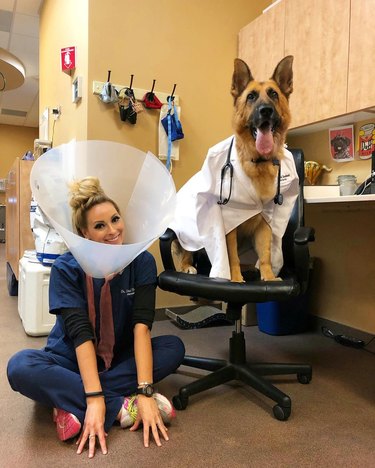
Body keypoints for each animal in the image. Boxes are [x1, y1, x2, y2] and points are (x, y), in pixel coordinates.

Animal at [176, 54, 294, 282]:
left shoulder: (264, 223)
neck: (257, 161)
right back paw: (187, 266)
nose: (266, 110)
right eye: (251, 97)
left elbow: (265, 253)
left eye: (274, 94)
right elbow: (231, 256)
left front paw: (268, 277)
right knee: (189, 249)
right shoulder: (229, 224)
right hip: (193, 232)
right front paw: (236, 278)